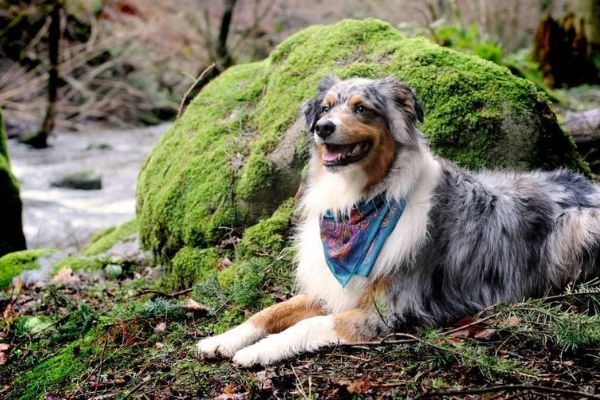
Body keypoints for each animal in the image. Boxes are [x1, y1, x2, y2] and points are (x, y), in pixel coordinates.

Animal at [199, 75, 600, 366]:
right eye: (325, 109)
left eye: (362, 109)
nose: (322, 127)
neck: (359, 201)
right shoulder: (335, 289)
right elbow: (269, 311)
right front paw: (222, 340)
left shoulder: (383, 311)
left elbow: (309, 324)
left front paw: (257, 351)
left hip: (578, 226)